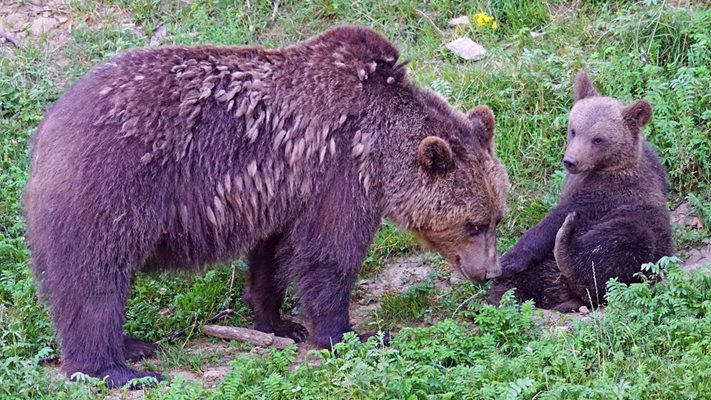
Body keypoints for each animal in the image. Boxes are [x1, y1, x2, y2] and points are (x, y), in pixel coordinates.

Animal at [23, 25, 512, 388]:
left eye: (496, 216)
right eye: (473, 223)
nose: (489, 271)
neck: (377, 145)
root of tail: (51, 123)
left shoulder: (285, 189)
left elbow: (274, 255)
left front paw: (277, 321)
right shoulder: (337, 173)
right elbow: (329, 254)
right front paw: (351, 333)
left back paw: (133, 345)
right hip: (114, 188)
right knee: (96, 279)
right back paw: (116, 368)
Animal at [486, 72, 676, 312]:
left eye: (598, 139)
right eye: (573, 129)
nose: (571, 161)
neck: (601, 168)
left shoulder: (604, 193)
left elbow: (554, 221)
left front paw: (507, 260)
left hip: (642, 241)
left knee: (622, 241)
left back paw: (565, 243)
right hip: (545, 271)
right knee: (524, 283)